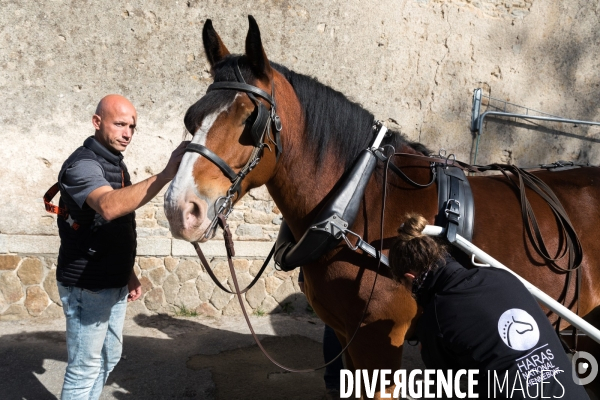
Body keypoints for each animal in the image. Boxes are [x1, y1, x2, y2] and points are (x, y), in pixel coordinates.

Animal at [164, 14, 600, 396]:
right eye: (191, 117)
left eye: (248, 121)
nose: (179, 208)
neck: (354, 200)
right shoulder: (346, 338)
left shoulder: (378, 340)